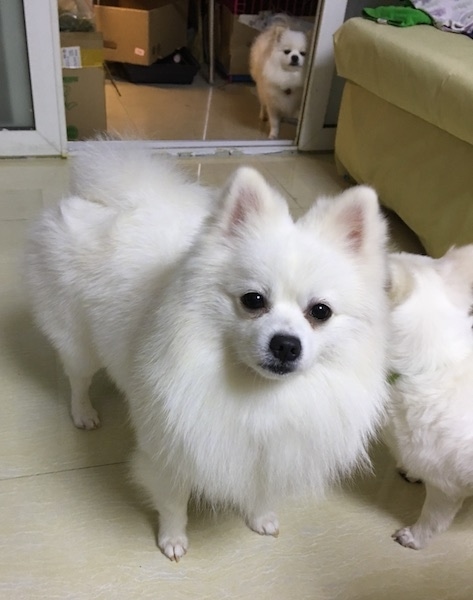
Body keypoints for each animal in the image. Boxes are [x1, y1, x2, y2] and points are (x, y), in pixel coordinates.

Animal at [24, 144, 390, 564]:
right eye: (253, 300)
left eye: (320, 312)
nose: (285, 344)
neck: (260, 394)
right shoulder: (170, 451)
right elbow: (173, 503)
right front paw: (172, 539)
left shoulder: (272, 450)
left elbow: (263, 488)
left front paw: (260, 517)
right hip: (76, 339)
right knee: (78, 377)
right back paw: (83, 412)